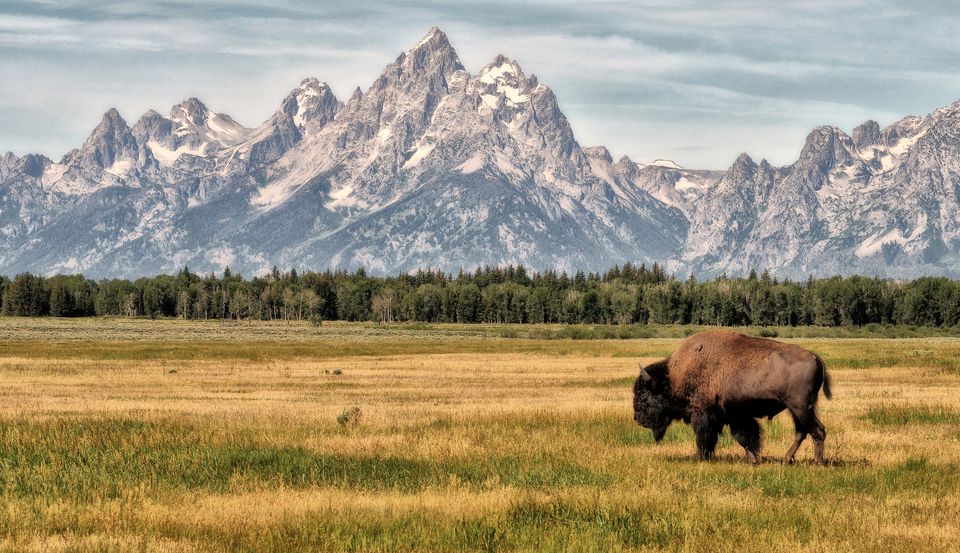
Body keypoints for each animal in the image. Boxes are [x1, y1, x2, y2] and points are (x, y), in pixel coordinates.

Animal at [632, 330, 832, 464]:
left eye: (643, 395)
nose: (637, 418)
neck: (672, 378)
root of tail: (814, 357)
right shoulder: (737, 416)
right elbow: (745, 438)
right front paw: (753, 460)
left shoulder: (703, 415)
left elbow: (706, 437)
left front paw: (702, 457)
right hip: (796, 409)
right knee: (802, 431)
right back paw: (786, 459)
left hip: (800, 407)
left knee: (817, 430)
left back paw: (817, 463)